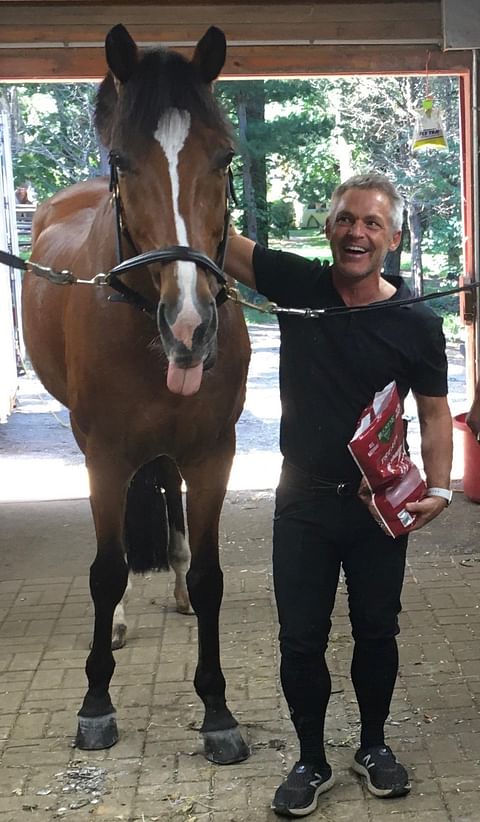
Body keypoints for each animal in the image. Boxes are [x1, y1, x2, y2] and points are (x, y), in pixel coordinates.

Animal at [20, 24, 251, 768]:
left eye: (223, 157)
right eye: (123, 161)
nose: (190, 326)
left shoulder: (212, 454)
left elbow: (210, 577)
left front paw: (218, 712)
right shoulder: (106, 457)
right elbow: (106, 571)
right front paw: (96, 704)